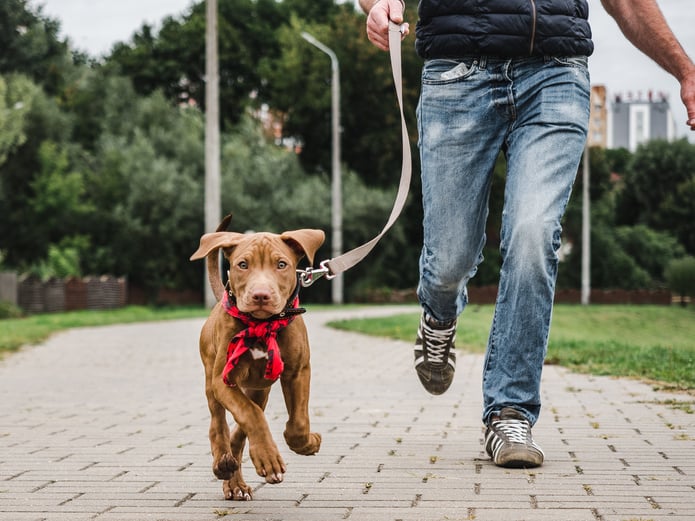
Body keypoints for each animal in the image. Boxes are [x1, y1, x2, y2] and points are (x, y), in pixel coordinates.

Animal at [190, 215, 326, 500]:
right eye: (242, 265)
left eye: (281, 264)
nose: (261, 295)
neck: (262, 325)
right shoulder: (223, 380)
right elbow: (250, 415)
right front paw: (268, 457)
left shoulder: (298, 371)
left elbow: (297, 422)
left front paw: (307, 443)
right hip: (211, 379)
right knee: (219, 424)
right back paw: (223, 461)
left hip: (259, 389)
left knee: (241, 429)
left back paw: (234, 479)